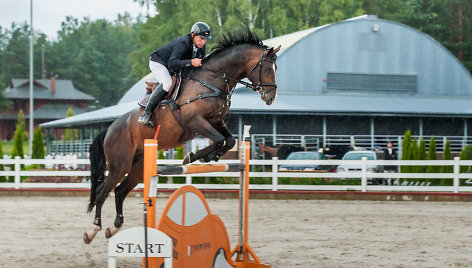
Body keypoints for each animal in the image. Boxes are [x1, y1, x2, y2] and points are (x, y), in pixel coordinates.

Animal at [83, 28, 280, 244]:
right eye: (267, 68)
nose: (271, 98)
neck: (213, 80)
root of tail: (110, 129)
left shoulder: (216, 121)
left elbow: (229, 141)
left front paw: (207, 156)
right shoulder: (195, 122)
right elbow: (219, 140)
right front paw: (193, 156)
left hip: (138, 166)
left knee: (119, 192)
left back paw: (115, 226)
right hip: (120, 165)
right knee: (103, 192)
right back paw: (93, 230)